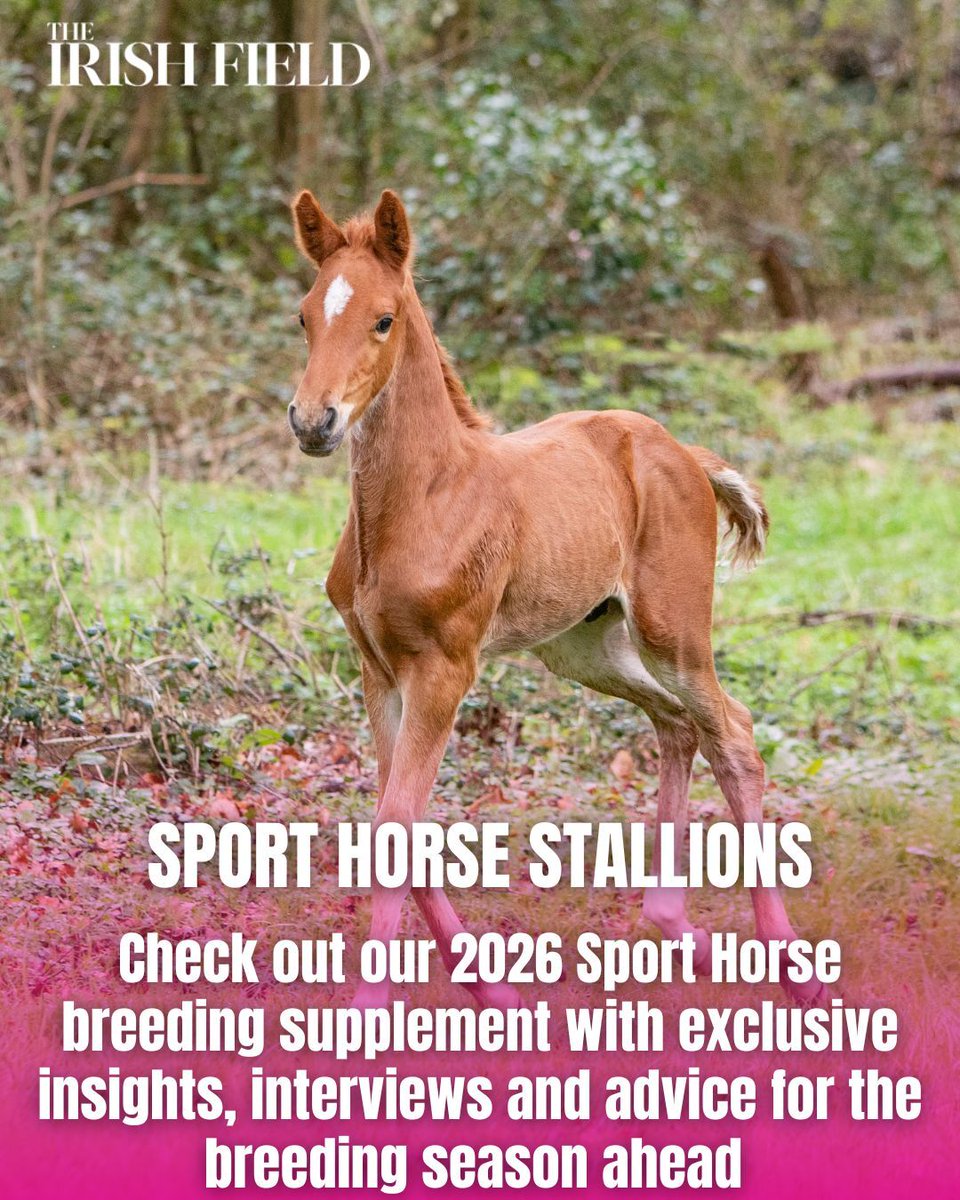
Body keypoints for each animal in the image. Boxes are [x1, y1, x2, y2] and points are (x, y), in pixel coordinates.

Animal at [287, 188, 827, 1010]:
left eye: (382, 319)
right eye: (305, 315)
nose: (314, 421)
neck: (422, 499)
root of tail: (685, 453)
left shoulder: (445, 667)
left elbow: (398, 824)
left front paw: (372, 1011)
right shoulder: (378, 670)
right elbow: (397, 822)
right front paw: (491, 990)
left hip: (672, 630)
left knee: (731, 734)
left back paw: (791, 965)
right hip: (581, 646)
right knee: (677, 725)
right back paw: (675, 926)